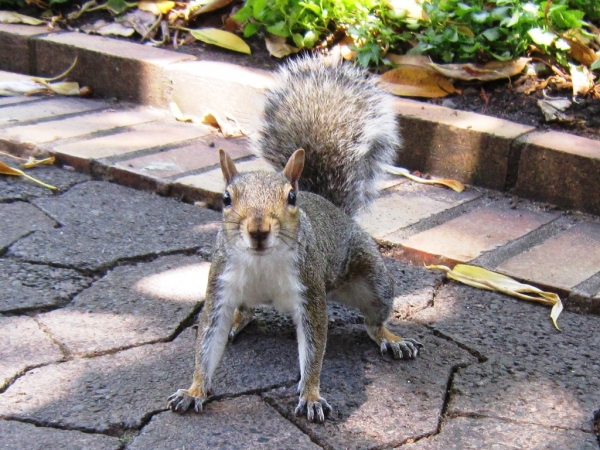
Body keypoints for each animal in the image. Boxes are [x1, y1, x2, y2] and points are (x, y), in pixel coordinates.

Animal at [168, 54, 422, 424]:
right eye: (226, 198)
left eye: (290, 197)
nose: (259, 230)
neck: (262, 260)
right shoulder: (220, 287)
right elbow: (207, 342)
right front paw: (194, 390)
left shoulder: (310, 293)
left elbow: (314, 348)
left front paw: (311, 395)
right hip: (244, 295)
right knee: (246, 311)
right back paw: (237, 322)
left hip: (373, 280)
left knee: (373, 320)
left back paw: (391, 338)